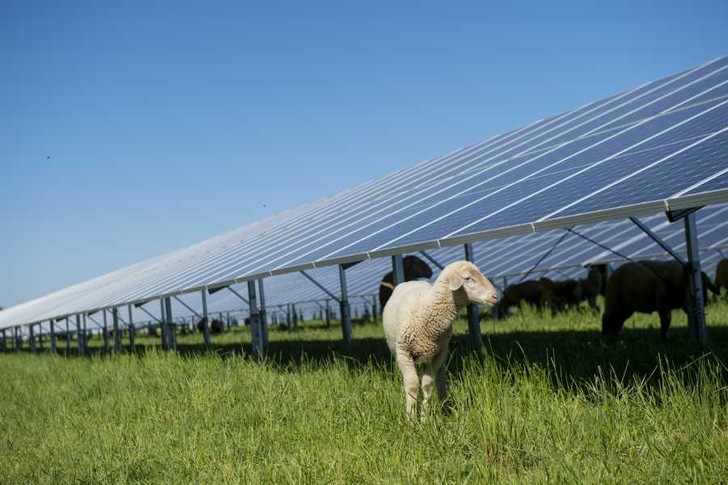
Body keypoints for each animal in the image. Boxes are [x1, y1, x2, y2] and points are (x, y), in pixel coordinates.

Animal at [382, 260, 500, 422]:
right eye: (468, 278)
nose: (495, 296)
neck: (425, 309)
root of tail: (412, 281)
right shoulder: (403, 352)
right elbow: (412, 385)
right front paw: (411, 420)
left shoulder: (438, 354)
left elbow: (427, 385)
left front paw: (424, 419)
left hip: (438, 355)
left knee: (440, 378)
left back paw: (445, 406)